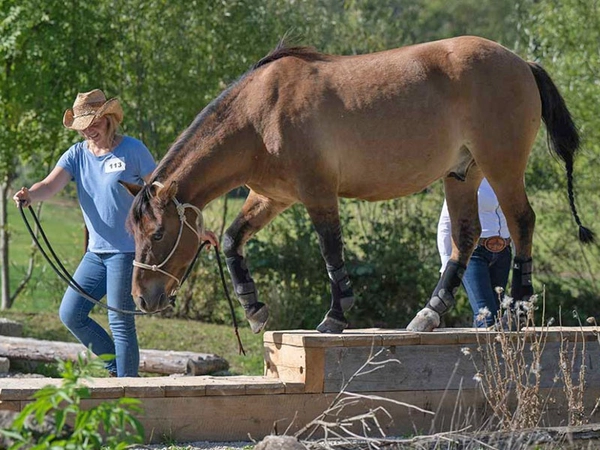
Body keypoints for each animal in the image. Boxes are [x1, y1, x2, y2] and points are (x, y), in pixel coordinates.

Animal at [122, 36, 592, 334]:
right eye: (134, 232)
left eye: (158, 233)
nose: (142, 299)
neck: (260, 114)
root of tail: (521, 63)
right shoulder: (271, 197)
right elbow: (234, 239)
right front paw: (254, 308)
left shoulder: (317, 193)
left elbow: (331, 252)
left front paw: (336, 316)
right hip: (463, 174)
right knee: (466, 236)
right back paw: (428, 314)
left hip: (501, 165)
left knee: (521, 221)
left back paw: (518, 311)